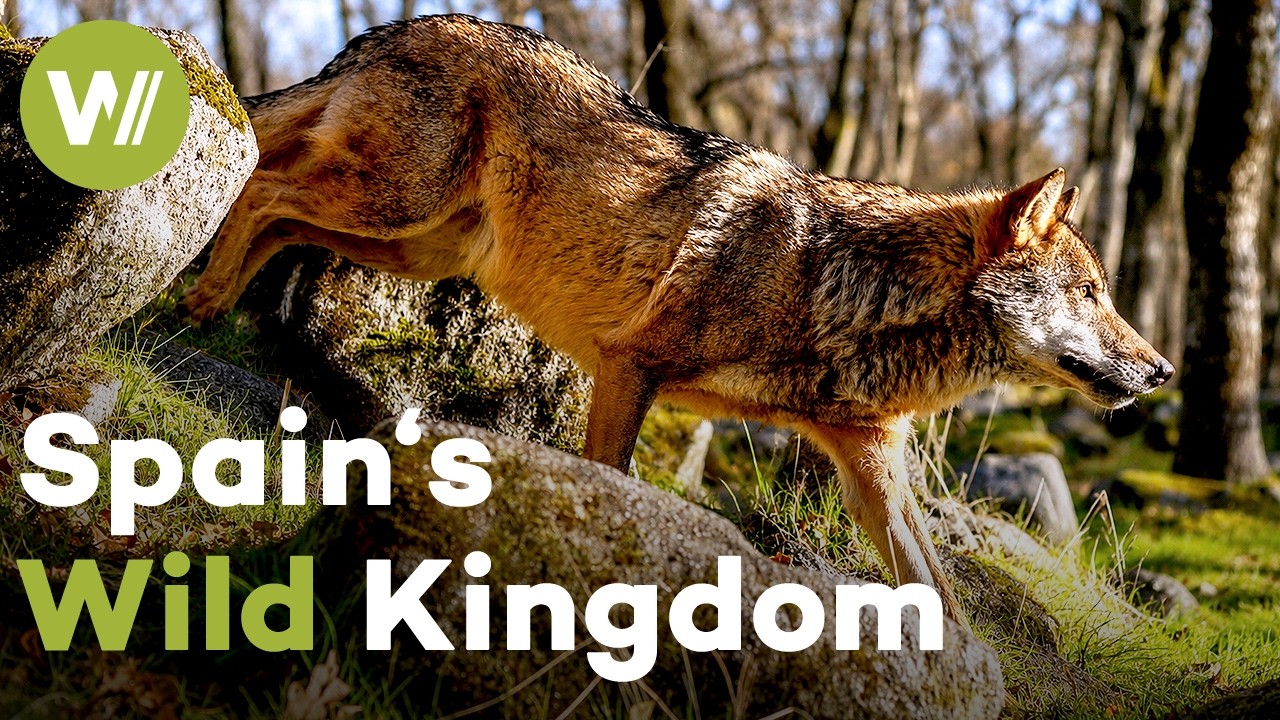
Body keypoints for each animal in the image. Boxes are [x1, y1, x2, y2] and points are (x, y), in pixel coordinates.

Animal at [184, 14, 1173, 624]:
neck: (836, 283)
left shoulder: (872, 468)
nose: (1163, 371)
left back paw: (215, 304)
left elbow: (942, 596)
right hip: (394, 209)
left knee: (279, 206)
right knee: (265, 183)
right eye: (1093, 295)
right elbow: (608, 480)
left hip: (411, 243)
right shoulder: (630, 365)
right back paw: (200, 301)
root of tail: (398, 26)